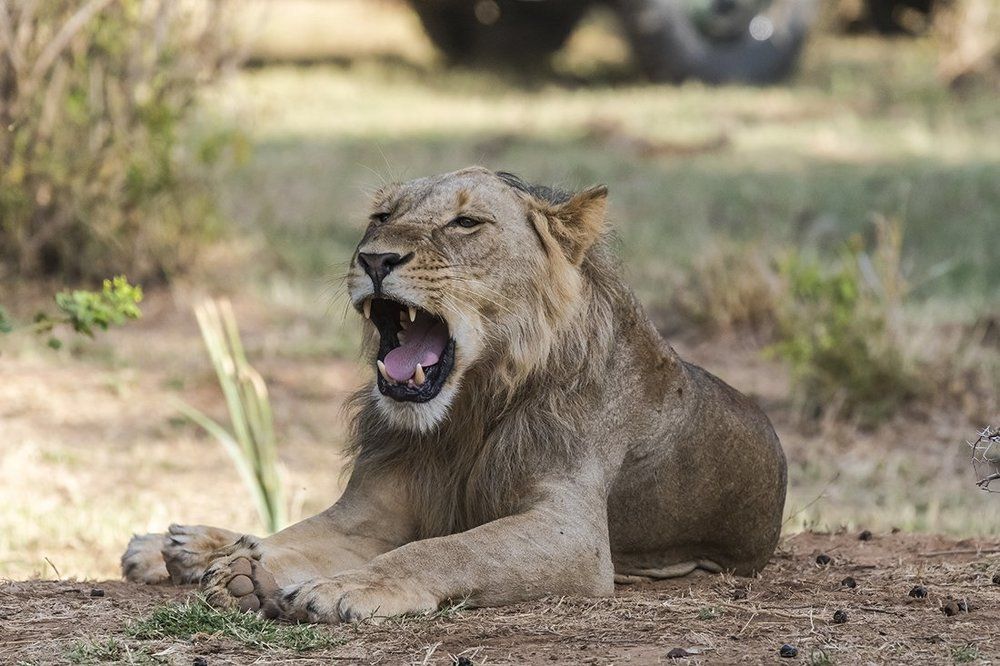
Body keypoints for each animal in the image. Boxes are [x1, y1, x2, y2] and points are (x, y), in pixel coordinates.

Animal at [122, 166, 787, 623]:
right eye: (380, 217)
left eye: (465, 223)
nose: (374, 258)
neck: (467, 412)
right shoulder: (371, 510)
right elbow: (296, 537)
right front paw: (241, 571)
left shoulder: (573, 535)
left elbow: (446, 550)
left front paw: (345, 586)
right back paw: (180, 548)